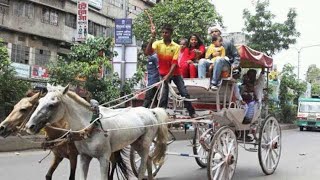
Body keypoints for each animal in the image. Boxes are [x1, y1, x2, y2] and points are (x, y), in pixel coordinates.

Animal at [26, 85, 169, 179]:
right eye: (39, 101)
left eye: (52, 105)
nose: (29, 126)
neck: (89, 126)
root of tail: (150, 111)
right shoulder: (83, 157)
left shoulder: (104, 158)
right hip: (136, 144)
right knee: (149, 160)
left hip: (144, 144)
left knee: (142, 168)